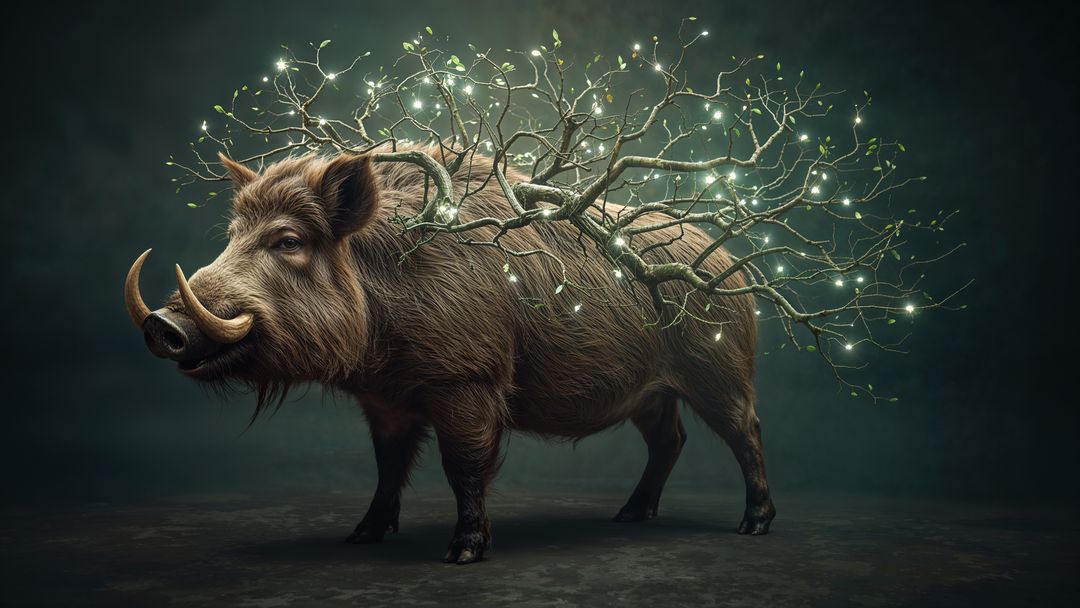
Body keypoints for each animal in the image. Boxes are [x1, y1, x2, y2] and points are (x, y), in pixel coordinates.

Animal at [124, 146, 776, 564]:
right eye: (233, 236)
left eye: (288, 241)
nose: (162, 323)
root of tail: (734, 267)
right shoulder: (385, 402)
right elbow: (388, 466)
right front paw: (361, 537)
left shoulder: (469, 380)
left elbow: (462, 465)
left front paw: (462, 554)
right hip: (653, 393)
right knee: (671, 440)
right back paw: (629, 517)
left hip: (718, 371)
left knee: (745, 431)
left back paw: (753, 527)